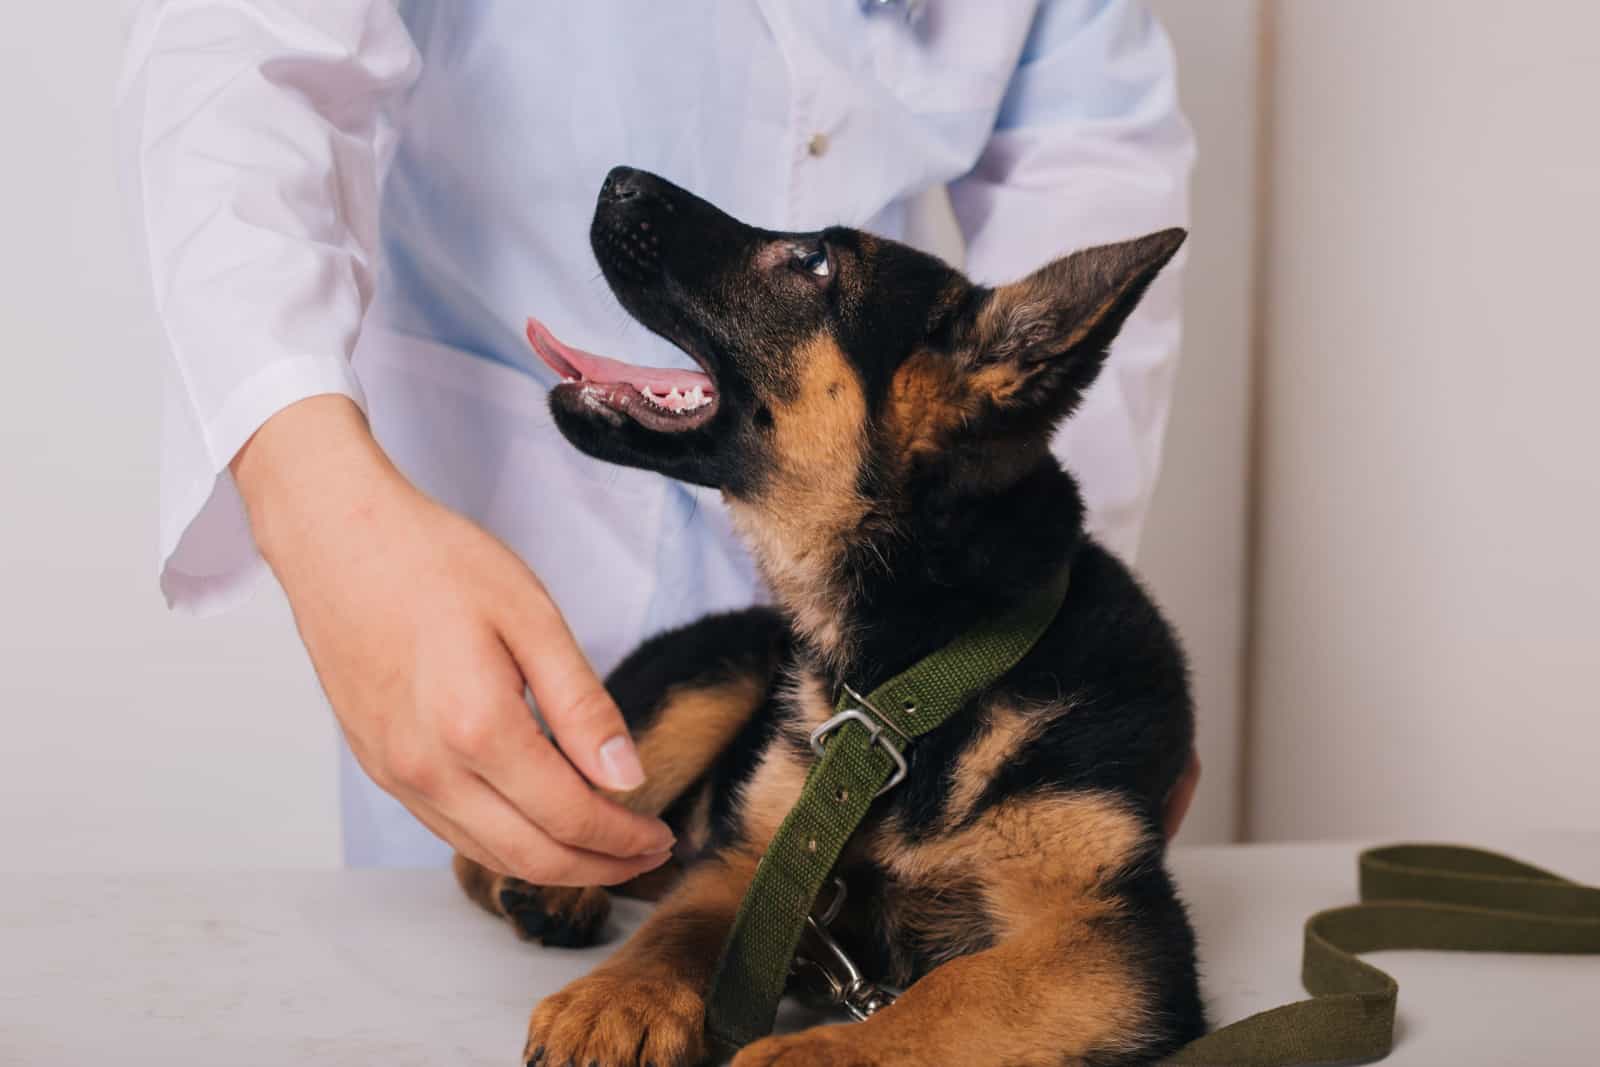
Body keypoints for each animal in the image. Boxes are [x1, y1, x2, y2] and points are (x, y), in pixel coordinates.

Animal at [451, 168, 1203, 1067]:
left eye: (813, 263)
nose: (617, 178)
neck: (915, 667)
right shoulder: (755, 853)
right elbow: (678, 926)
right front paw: (618, 994)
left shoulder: (1113, 929)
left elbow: (957, 991)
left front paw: (809, 1055)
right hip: (703, 690)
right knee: (510, 836)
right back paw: (547, 891)